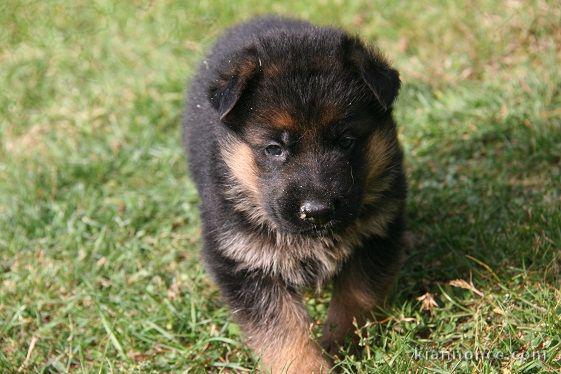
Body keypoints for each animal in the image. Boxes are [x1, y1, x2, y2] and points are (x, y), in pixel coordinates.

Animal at [184, 15, 406, 374]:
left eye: (346, 141)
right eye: (274, 148)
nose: (317, 211)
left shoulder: (376, 235)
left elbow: (356, 298)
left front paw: (339, 345)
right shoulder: (243, 259)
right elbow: (283, 331)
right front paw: (311, 364)